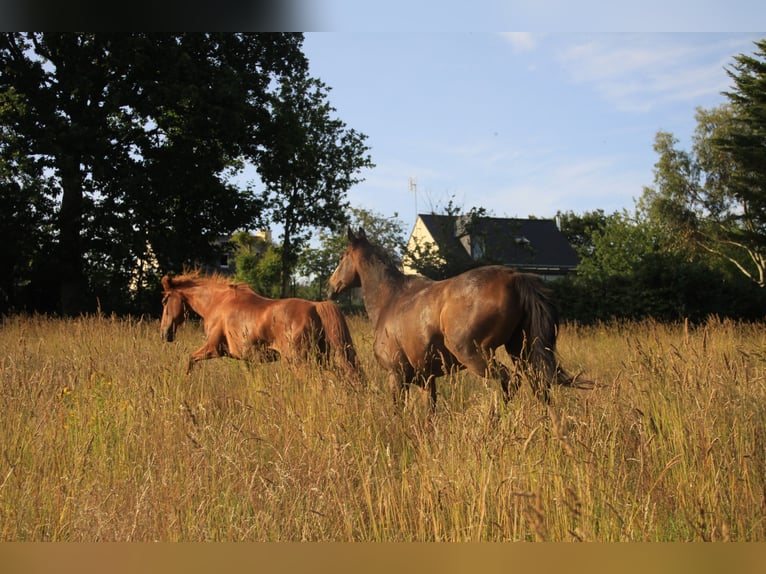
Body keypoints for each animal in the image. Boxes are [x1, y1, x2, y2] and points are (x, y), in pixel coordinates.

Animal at [162, 274, 360, 378]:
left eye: (164, 301)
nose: (164, 334)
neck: (217, 302)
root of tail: (316, 306)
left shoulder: (213, 348)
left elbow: (190, 359)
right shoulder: (246, 359)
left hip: (300, 362)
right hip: (320, 358)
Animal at [326, 227, 576, 408]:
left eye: (342, 257)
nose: (330, 287)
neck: (390, 300)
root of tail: (515, 276)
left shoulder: (396, 376)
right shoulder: (426, 379)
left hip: (475, 354)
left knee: (510, 382)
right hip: (523, 353)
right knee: (540, 388)